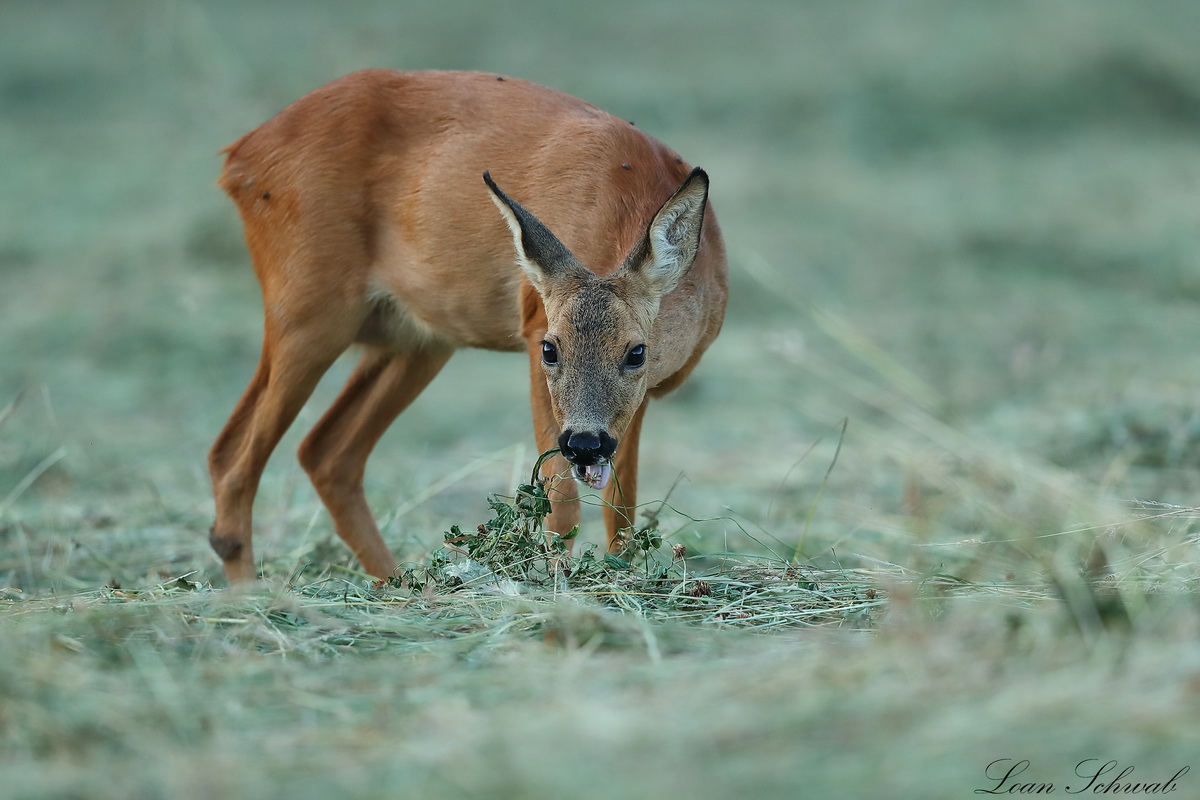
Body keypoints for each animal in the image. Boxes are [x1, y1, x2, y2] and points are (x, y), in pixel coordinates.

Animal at [207, 70, 724, 582]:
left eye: (637, 352)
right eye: (551, 349)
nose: (583, 443)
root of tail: (239, 157)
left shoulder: (636, 402)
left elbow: (622, 511)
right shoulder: (532, 325)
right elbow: (561, 503)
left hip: (417, 339)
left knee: (325, 451)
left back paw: (404, 586)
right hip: (306, 307)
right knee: (233, 455)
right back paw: (251, 592)